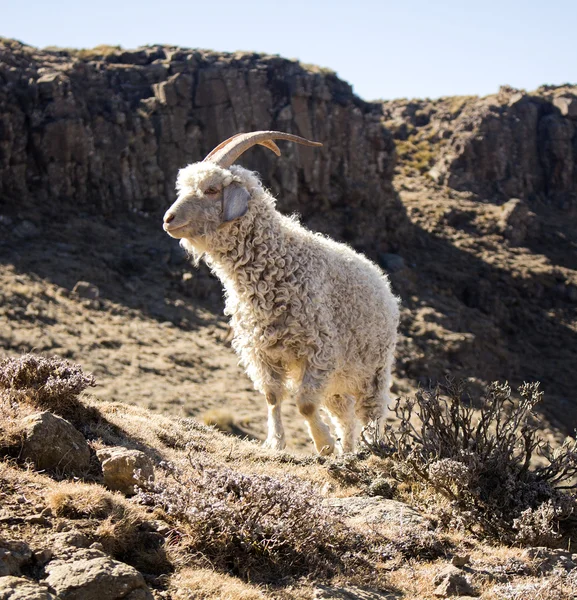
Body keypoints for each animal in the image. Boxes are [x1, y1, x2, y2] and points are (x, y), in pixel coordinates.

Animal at [161, 129, 396, 452]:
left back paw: (372, 448)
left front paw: (323, 445)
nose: (168, 219)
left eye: (210, 189)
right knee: (346, 417)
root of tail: (382, 281)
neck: (280, 262)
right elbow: (272, 397)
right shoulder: (262, 352)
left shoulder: (319, 350)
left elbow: (305, 404)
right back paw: (348, 451)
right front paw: (275, 443)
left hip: (374, 370)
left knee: (372, 413)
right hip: (338, 383)